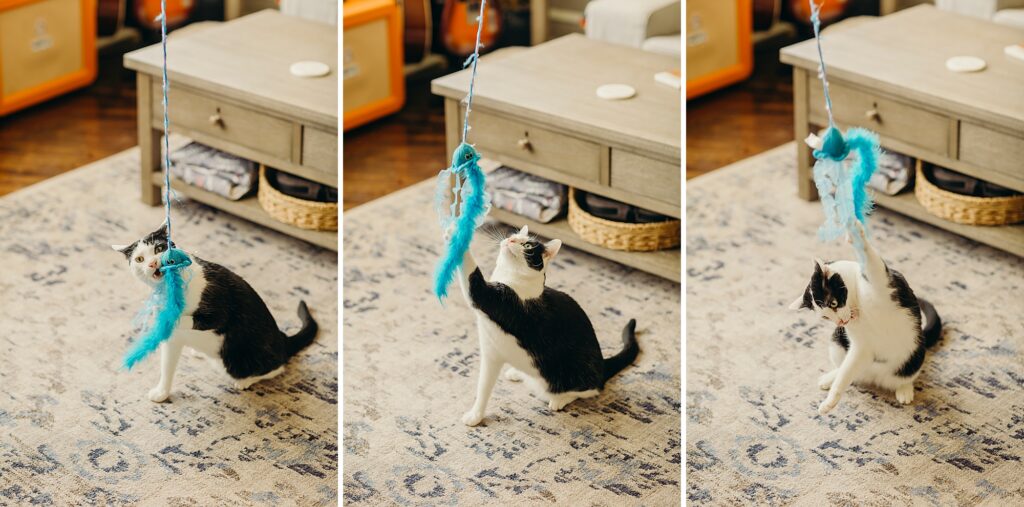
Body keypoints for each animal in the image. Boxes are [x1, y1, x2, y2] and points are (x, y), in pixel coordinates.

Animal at [112, 224, 315, 403]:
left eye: (159, 248)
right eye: (139, 259)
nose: (153, 263)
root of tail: (283, 338)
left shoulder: (219, 308)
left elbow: (199, 319)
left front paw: (166, 317)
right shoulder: (173, 340)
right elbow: (166, 367)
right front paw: (162, 393)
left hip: (238, 360)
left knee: (277, 367)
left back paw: (246, 381)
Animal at [450, 224, 634, 426]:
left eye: (528, 246)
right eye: (514, 234)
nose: (510, 240)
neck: (511, 278)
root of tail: (602, 365)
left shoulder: (493, 300)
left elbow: (472, 278)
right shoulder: (491, 351)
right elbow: (483, 384)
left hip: (573, 376)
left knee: (589, 390)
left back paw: (559, 400)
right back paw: (517, 373)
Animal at [786, 224, 937, 413]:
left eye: (833, 303)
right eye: (825, 317)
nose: (840, 322)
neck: (858, 303)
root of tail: (874, 377)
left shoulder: (882, 282)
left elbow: (873, 264)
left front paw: (854, 231)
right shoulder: (862, 347)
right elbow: (845, 374)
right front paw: (829, 402)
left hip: (914, 355)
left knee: (908, 376)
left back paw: (905, 390)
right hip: (836, 342)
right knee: (845, 368)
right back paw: (829, 378)